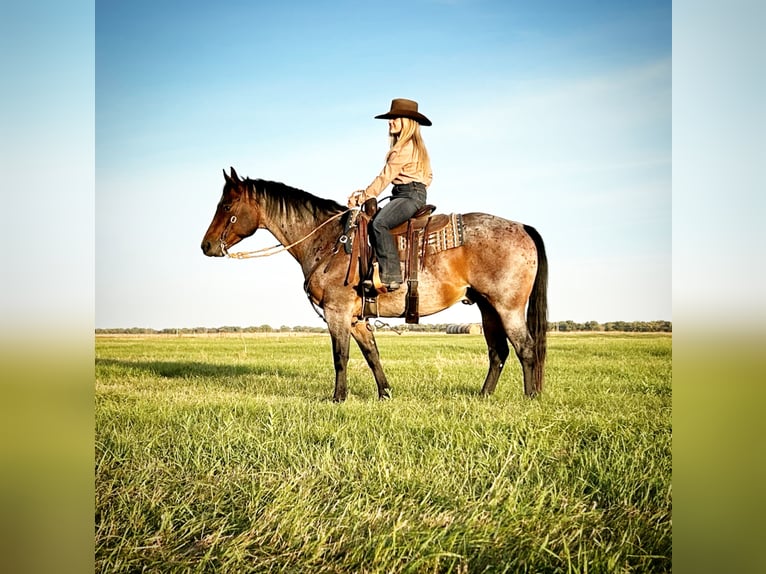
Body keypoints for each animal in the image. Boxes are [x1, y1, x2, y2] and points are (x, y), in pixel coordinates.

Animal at [201, 166, 548, 402]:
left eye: (226, 207)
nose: (206, 245)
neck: (328, 240)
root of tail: (522, 227)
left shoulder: (337, 313)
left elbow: (340, 356)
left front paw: (338, 398)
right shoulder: (356, 318)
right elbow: (372, 355)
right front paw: (385, 394)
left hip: (508, 308)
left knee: (526, 348)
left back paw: (530, 397)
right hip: (488, 308)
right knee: (498, 352)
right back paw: (484, 395)